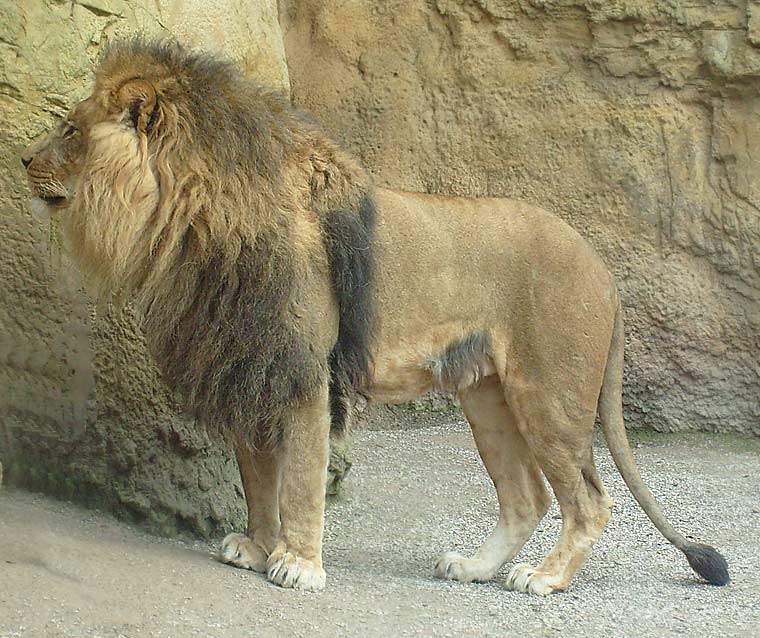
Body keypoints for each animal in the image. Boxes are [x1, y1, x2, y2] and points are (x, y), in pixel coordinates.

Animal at [20, 40, 728, 596]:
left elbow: (300, 477)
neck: (191, 222)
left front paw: (298, 565)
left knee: (589, 500)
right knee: (529, 496)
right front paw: (255, 546)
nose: (24, 159)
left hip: (548, 394)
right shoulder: (250, 362)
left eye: (73, 131)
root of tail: (604, 268)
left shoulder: (303, 373)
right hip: (488, 397)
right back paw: (473, 567)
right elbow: (257, 475)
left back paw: (545, 578)